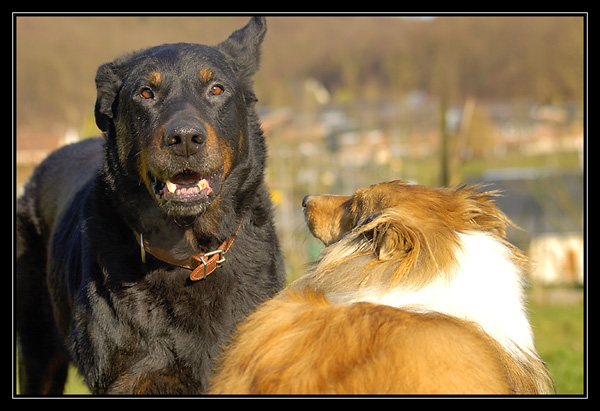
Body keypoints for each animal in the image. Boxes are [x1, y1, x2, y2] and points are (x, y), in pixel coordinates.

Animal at [15, 16, 284, 396]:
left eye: (216, 89)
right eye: (146, 93)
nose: (184, 138)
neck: (191, 256)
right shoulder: (132, 377)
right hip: (38, 350)